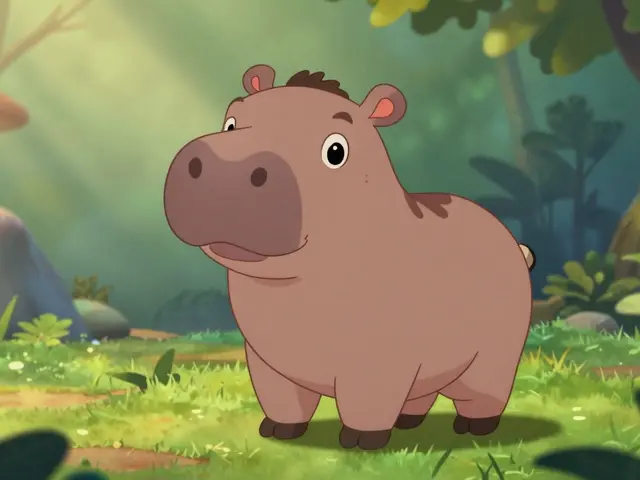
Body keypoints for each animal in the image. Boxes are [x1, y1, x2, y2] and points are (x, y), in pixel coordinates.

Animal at [164, 64, 536, 451]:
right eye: (231, 122)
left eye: (336, 150)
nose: (227, 163)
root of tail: (515, 244)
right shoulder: (267, 361)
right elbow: (282, 401)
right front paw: (277, 431)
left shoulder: (381, 360)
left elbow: (366, 403)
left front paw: (360, 441)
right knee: (424, 392)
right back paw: (408, 422)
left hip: (495, 354)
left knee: (483, 392)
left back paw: (473, 428)